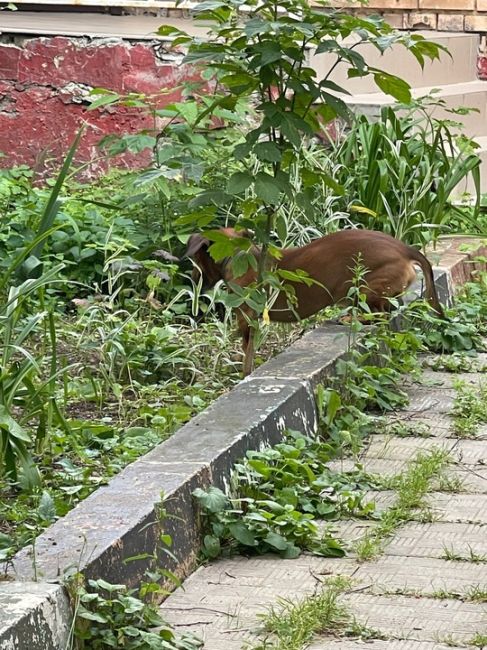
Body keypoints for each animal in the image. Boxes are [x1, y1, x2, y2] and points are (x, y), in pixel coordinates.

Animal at [185, 227, 444, 374]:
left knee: (379, 314)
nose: (193, 279)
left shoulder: (248, 320)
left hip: (358, 287)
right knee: (389, 311)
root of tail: (405, 248)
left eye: (196, 259)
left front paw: (243, 373)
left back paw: (351, 318)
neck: (238, 256)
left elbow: (247, 351)